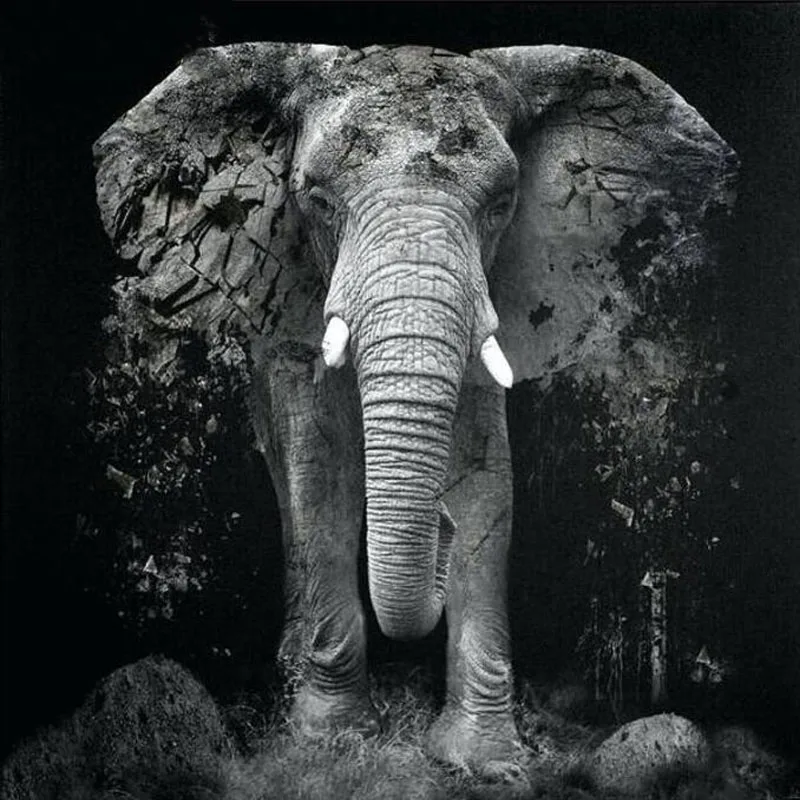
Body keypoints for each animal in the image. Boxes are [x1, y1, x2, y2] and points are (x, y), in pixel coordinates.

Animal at [93, 42, 736, 771]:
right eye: (316, 199)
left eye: (502, 204)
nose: (438, 532)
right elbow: (320, 473)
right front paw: (331, 741)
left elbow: (486, 482)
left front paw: (482, 761)